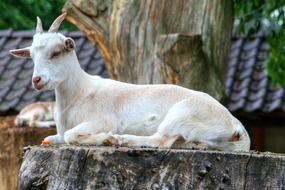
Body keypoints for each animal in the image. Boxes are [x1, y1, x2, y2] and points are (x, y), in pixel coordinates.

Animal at [8, 13, 248, 151]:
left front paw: (105, 138)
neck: (79, 93)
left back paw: (120, 140)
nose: (37, 80)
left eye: (56, 52)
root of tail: (236, 125)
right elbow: (49, 139)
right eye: (31, 56)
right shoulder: (57, 132)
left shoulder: (103, 119)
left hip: (184, 113)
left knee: (161, 140)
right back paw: (194, 145)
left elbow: (70, 136)